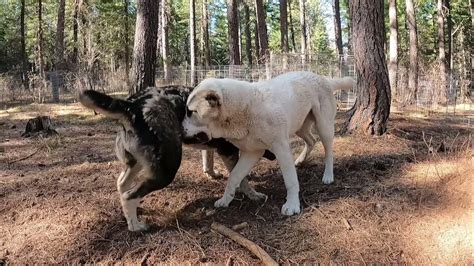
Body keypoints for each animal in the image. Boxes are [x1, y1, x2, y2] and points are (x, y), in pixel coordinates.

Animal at [183, 71, 354, 215]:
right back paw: (300, 160)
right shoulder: (252, 152)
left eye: (192, 112)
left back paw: (328, 175)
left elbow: (291, 180)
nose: (180, 130)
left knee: (328, 150)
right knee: (312, 140)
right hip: (300, 128)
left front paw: (292, 205)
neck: (244, 109)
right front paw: (226, 200)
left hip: (323, 126)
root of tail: (323, 78)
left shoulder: (281, 148)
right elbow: (234, 177)